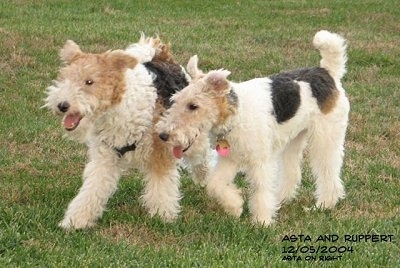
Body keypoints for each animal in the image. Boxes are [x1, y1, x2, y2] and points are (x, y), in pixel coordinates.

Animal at [156, 30, 350, 225]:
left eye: (193, 106)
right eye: (175, 100)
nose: (163, 135)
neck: (237, 115)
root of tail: (327, 72)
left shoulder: (260, 162)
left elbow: (260, 191)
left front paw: (262, 222)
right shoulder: (230, 159)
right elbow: (214, 185)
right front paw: (235, 206)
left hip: (325, 139)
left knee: (328, 174)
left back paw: (323, 205)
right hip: (293, 140)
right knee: (293, 174)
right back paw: (279, 200)